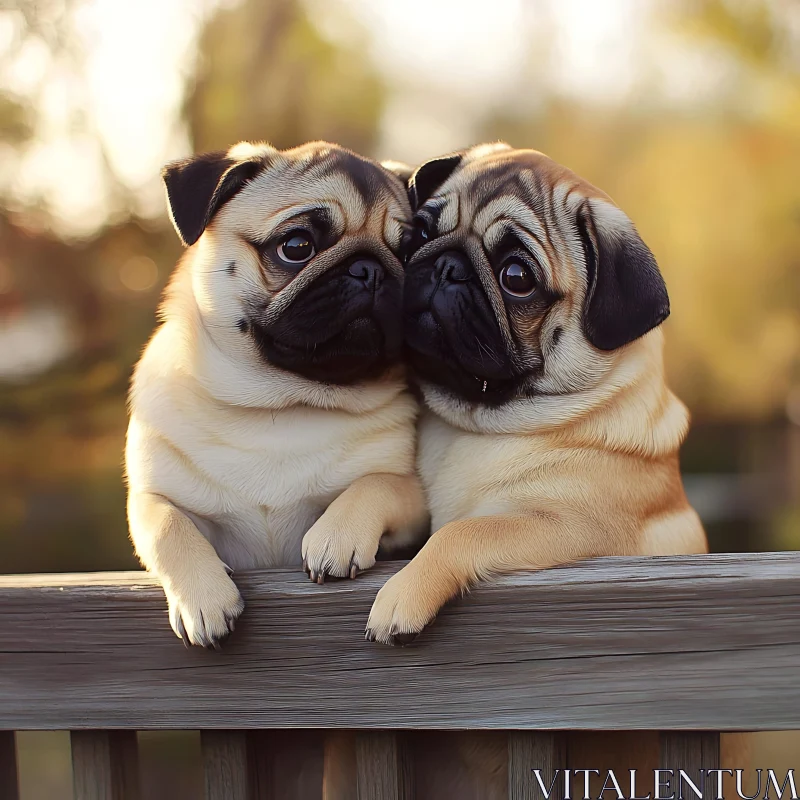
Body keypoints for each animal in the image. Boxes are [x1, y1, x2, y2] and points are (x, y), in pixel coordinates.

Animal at [126, 141, 428, 648]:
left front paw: (336, 535)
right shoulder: (152, 498)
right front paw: (204, 599)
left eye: (407, 255)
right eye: (297, 246)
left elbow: (380, 482)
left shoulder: (414, 500)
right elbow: (168, 527)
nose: (369, 269)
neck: (279, 401)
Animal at [364, 142, 708, 644]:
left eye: (517, 277)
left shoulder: (568, 528)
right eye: (421, 232)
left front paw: (402, 594)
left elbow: (462, 532)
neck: (476, 422)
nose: (447, 264)